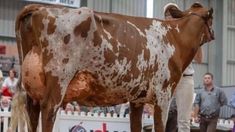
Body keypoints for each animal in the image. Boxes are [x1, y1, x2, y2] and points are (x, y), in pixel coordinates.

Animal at [10, 2, 213, 132]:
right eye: (211, 17)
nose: (213, 35)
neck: (173, 38)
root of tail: (41, 7)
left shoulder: (137, 99)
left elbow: (136, 126)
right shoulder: (163, 95)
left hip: (33, 89)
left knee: (32, 113)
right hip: (59, 79)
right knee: (48, 110)